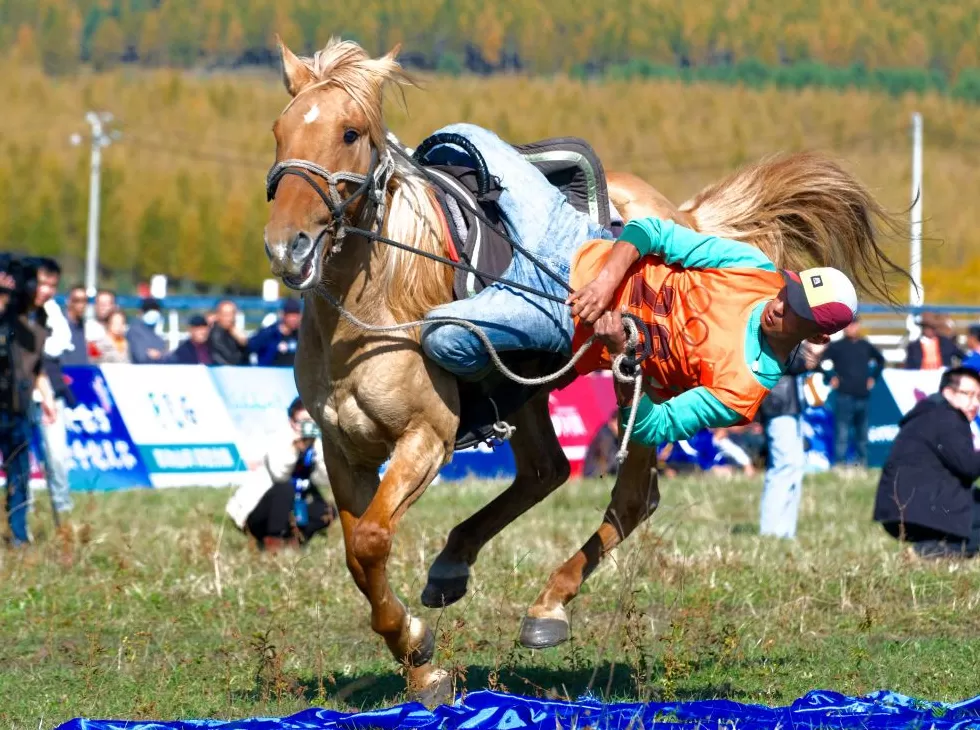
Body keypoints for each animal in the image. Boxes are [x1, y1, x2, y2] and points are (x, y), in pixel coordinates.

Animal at [262, 36, 911, 702]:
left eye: (350, 132)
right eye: (280, 130)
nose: (288, 247)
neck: (375, 307)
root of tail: (680, 212)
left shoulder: (426, 438)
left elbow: (369, 541)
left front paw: (420, 651)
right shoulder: (345, 449)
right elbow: (360, 554)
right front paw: (420, 664)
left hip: (634, 388)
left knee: (630, 498)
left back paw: (547, 607)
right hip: (526, 391)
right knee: (546, 470)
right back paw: (453, 564)